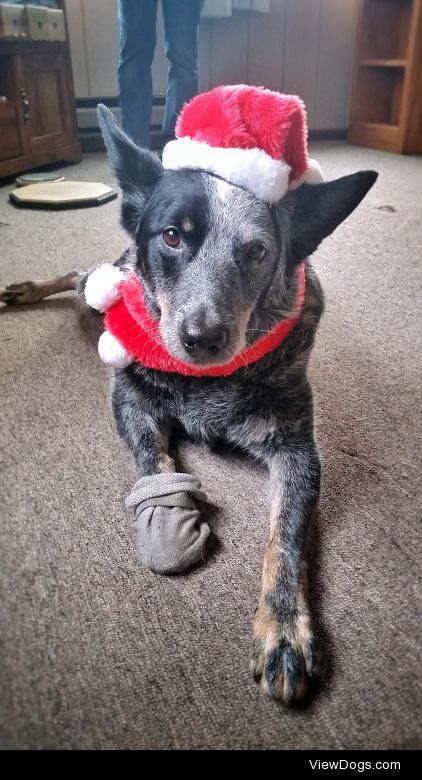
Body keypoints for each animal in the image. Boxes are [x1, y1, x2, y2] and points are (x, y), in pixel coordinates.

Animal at [0, 106, 376, 704]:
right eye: (173, 236)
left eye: (257, 252)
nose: (202, 338)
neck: (208, 382)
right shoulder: (128, 395)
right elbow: (155, 459)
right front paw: (169, 517)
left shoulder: (298, 449)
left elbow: (287, 539)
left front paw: (284, 628)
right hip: (100, 289)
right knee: (80, 277)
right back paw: (26, 289)